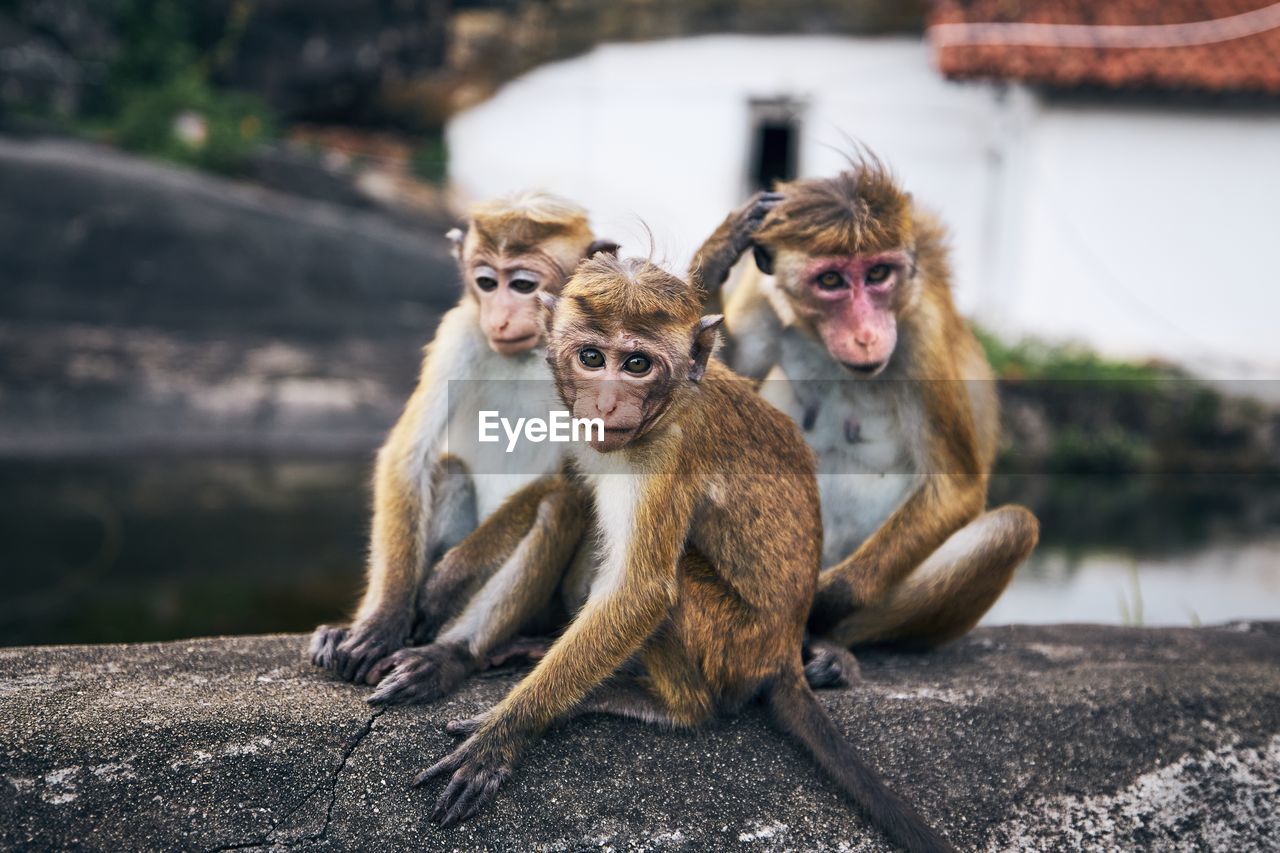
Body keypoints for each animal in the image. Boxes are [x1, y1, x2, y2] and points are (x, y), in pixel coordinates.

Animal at [304, 192, 614, 691]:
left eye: (523, 285)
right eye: (486, 282)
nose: (499, 317)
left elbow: (570, 480)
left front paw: (447, 580)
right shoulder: (461, 329)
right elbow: (408, 456)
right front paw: (383, 619)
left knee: (557, 506)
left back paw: (450, 655)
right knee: (447, 471)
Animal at [414, 252, 957, 850]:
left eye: (636, 364)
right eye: (590, 357)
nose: (606, 401)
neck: (668, 406)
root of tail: (784, 651)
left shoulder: (668, 456)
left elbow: (642, 592)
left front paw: (503, 736)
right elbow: (567, 485)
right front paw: (450, 586)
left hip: (735, 646)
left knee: (674, 600)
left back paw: (671, 706)